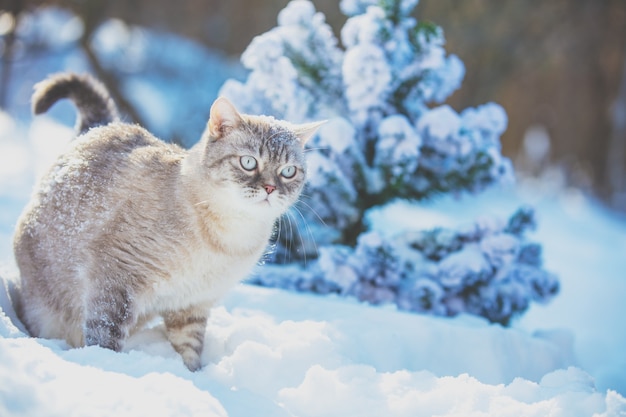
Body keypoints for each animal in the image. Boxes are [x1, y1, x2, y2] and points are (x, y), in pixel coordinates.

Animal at [14, 72, 322, 370]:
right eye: (248, 163)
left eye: (288, 171)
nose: (270, 188)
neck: (228, 238)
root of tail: (99, 127)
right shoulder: (116, 276)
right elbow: (106, 333)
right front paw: (108, 363)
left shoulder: (192, 305)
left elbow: (189, 352)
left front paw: (192, 376)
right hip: (50, 311)